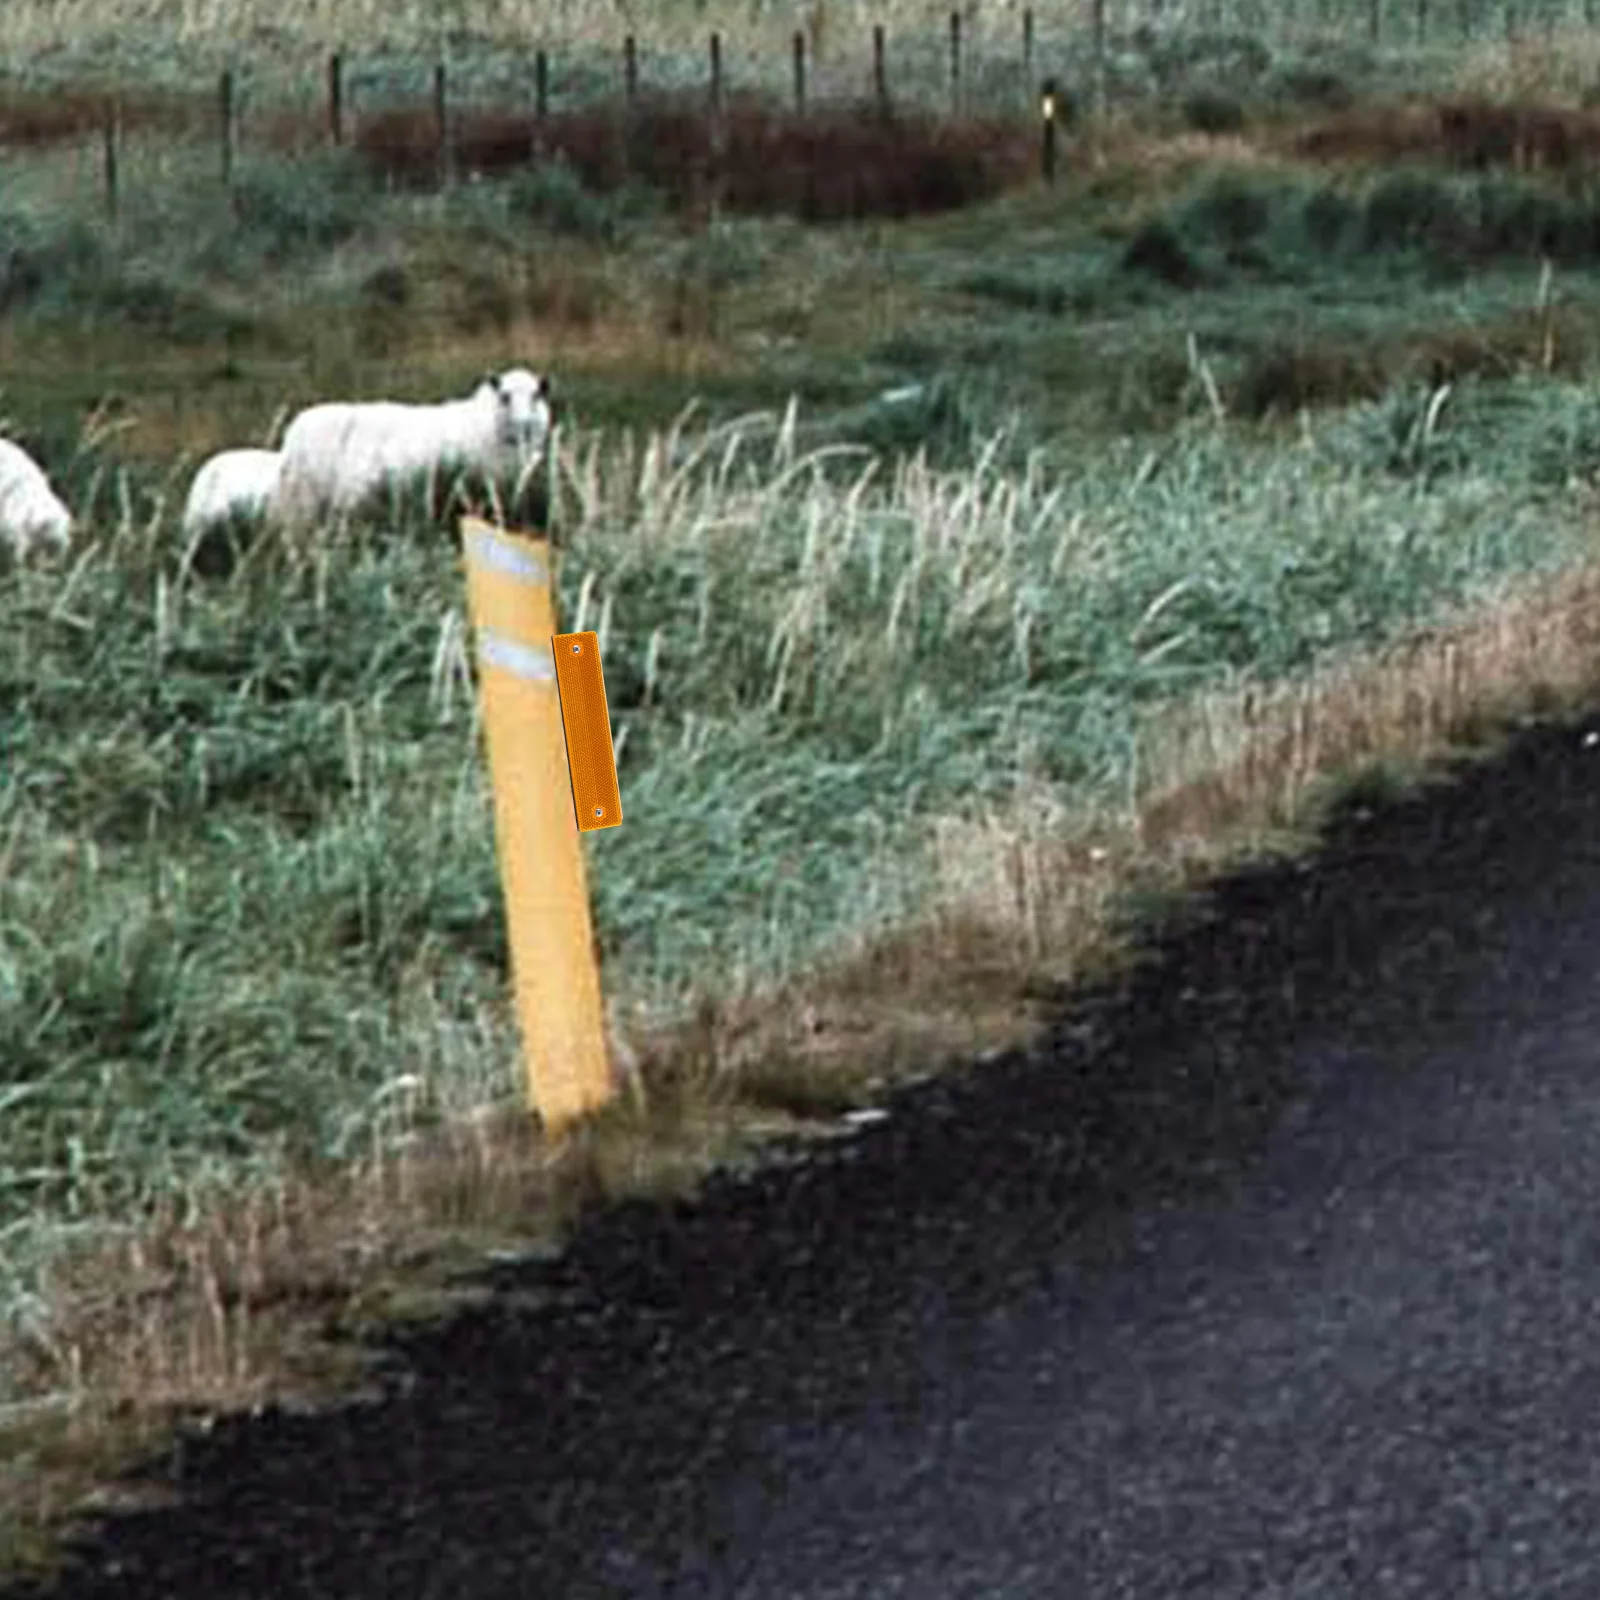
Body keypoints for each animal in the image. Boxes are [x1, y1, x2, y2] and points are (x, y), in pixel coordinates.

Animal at [270, 366, 556, 534]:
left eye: (536, 396)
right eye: (505, 396)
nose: (524, 424)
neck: (485, 420)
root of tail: (293, 435)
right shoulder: (483, 483)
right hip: (320, 499)